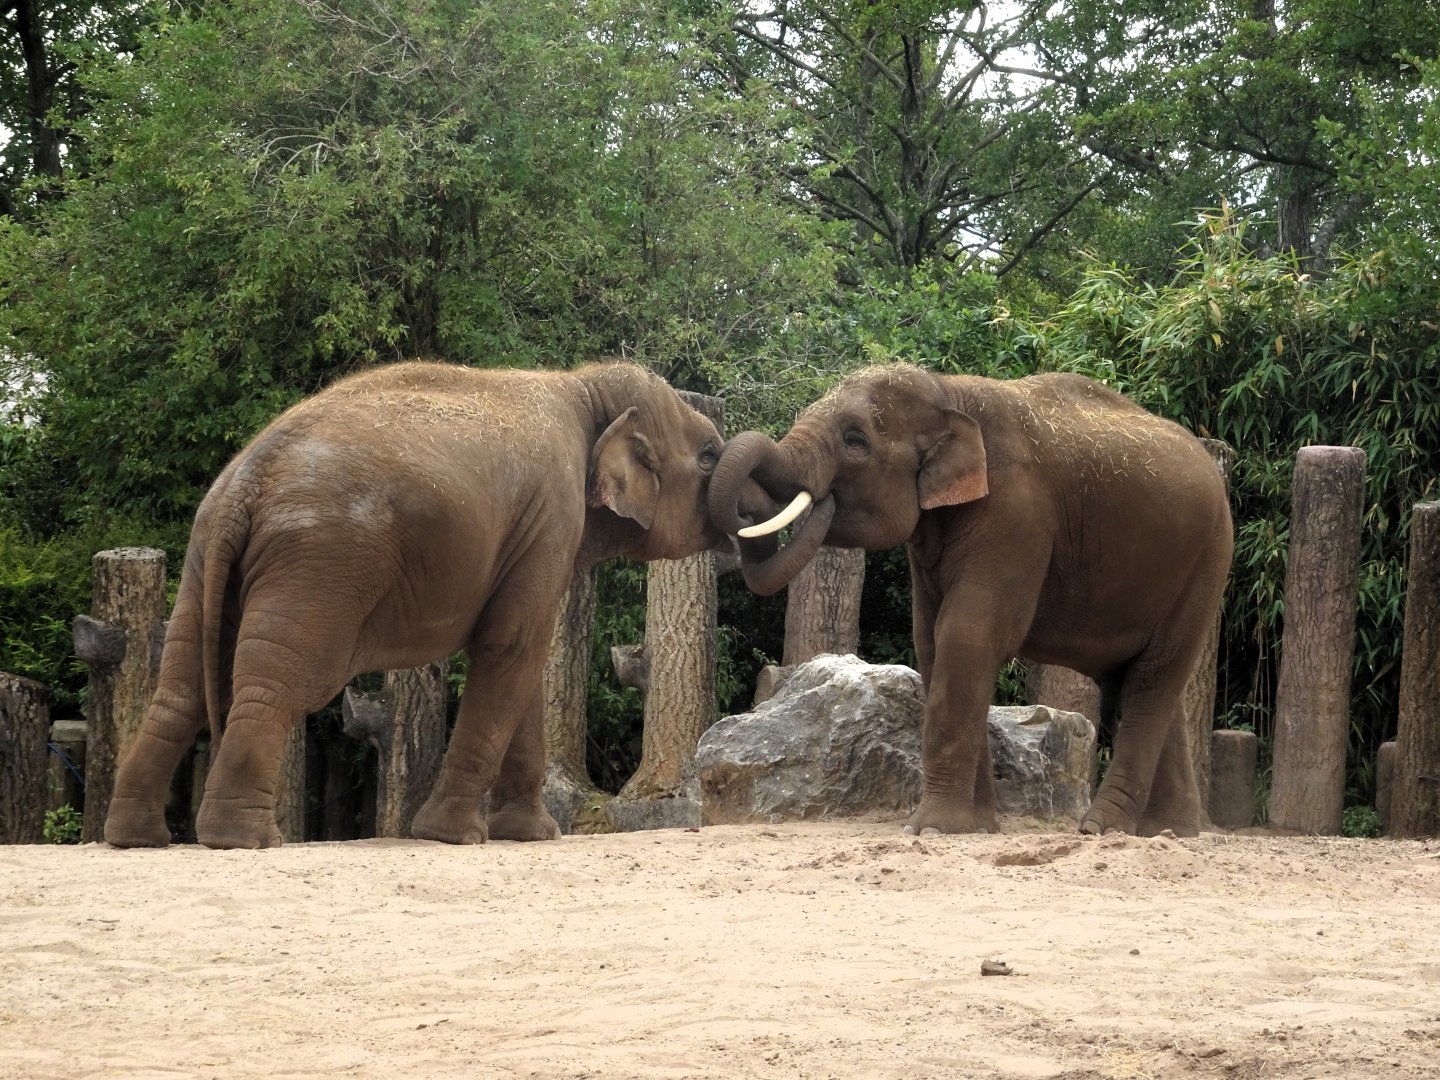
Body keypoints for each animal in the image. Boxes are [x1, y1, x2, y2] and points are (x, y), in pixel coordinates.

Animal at [104, 359, 730, 850]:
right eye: (708, 457)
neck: (583, 387)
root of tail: (245, 483)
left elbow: (523, 664)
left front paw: (532, 836)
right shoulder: (551, 516)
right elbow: (512, 647)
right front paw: (452, 837)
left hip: (204, 558)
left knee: (182, 686)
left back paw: (136, 838)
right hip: (318, 563)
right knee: (275, 684)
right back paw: (245, 839)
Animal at [709, 363, 1232, 838]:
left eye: (855, 440)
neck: (948, 390)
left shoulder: (1017, 512)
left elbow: (968, 635)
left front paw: (932, 829)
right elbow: (932, 642)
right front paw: (975, 828)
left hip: (1206, 565)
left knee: (1152, 680)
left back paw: (1102, 828)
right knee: (1141, 682)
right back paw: (1168, 832)